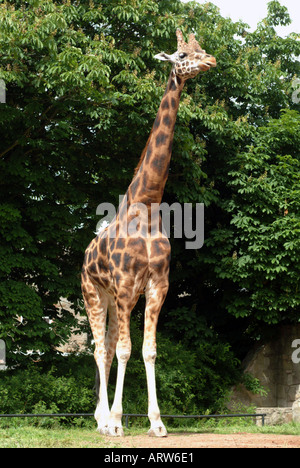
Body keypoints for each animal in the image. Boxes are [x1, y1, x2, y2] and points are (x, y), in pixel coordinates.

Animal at [81, 30, 214, 438]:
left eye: (201, 50)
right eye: (183, 55)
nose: (210, 61)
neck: (148, 206)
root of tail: (84, 255)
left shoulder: (157, 286)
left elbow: (148, 350)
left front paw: (156, 422)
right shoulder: (126, 286)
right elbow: (126, 350)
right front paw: (118, 421)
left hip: (110, 300)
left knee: (106, 348)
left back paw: (100, 418)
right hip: (93, 294)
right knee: (99, 349)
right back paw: (104, 421)